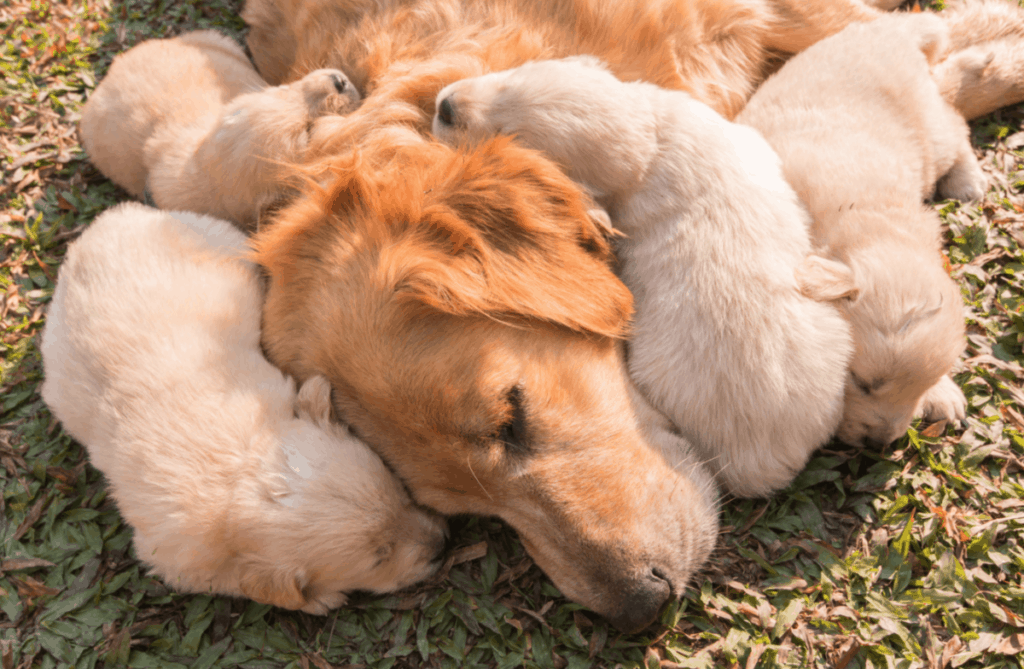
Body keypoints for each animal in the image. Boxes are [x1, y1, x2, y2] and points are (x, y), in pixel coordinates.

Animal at [37, 201, 446, 610]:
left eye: (400, 493)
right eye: (380, 556)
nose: (443, 543)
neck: (241, 474)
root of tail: (109, 219)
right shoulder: (180, 561)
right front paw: (321, 598)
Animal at [737, 10, 974, 446]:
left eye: (916, 390)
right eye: (861, 382)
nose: (880, 444)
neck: (864, 220)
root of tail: (895, 29)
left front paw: (943, 393)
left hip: (932, 130)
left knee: (958, 125)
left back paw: (968, 181)